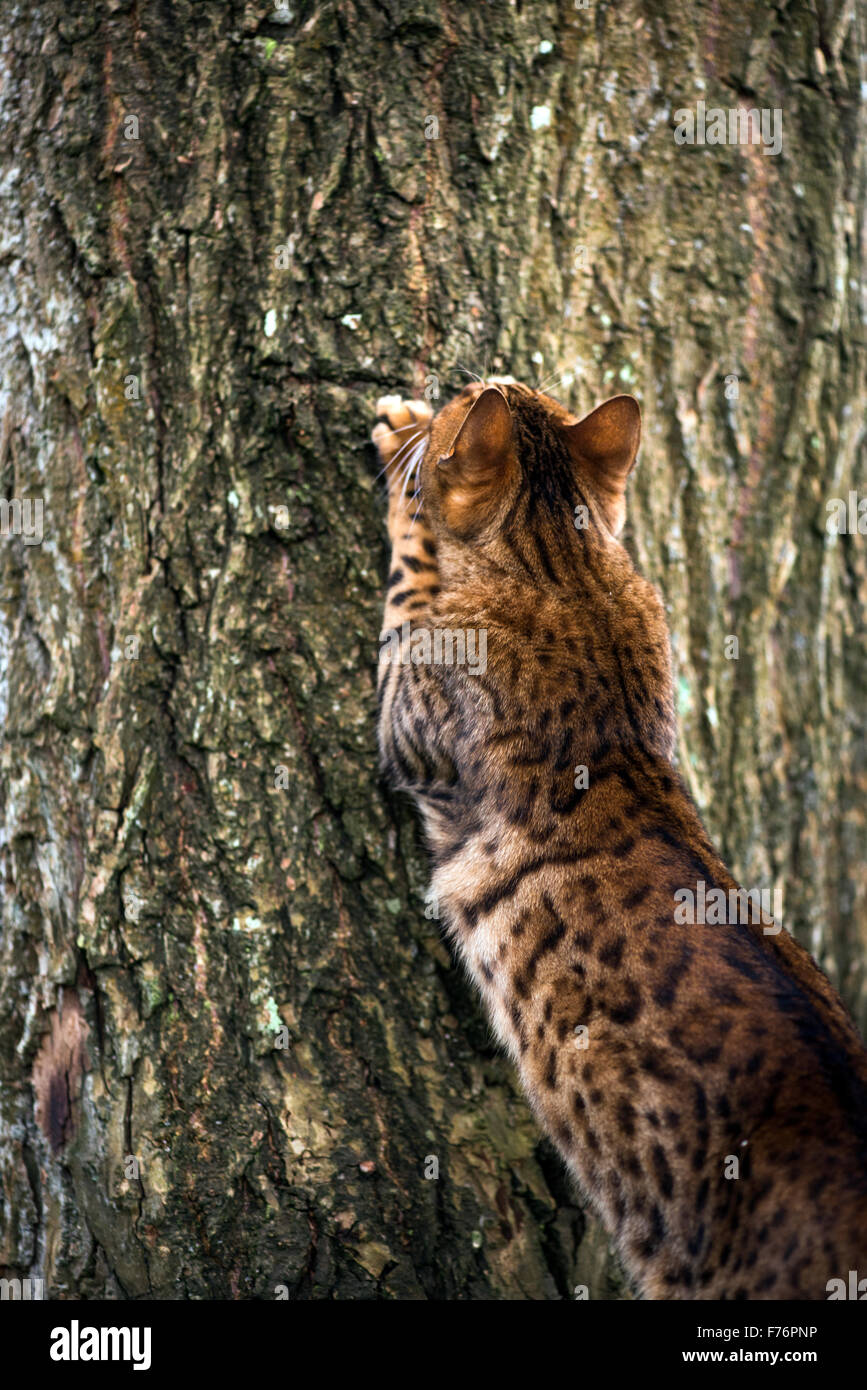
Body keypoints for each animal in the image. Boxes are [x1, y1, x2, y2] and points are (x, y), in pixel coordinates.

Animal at [369, 375, 867, 1295]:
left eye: (465, 393)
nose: (460, 381)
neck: (571, 575)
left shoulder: (408, 727)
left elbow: (409, 573)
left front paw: (403, 445)